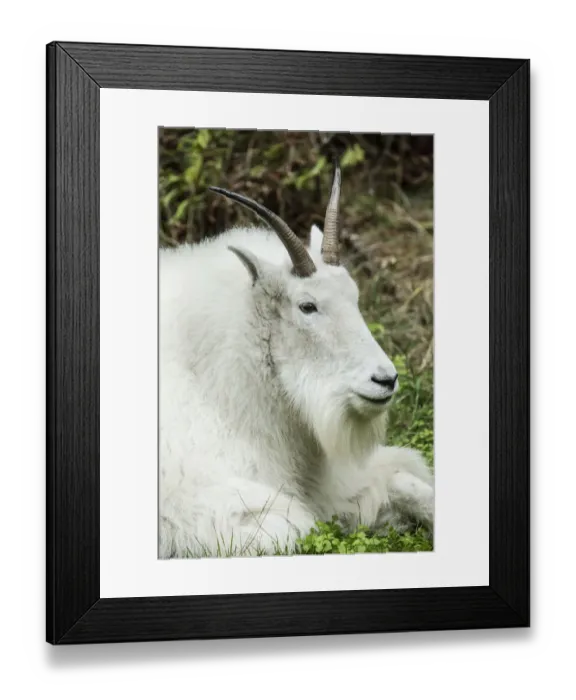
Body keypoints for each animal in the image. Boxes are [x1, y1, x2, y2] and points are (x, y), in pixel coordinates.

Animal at [159, 165, 434, 558]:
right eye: (307, 306)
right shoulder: (214, 510)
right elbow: (301, 527)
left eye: (354, 296)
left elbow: (406, 481)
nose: (385, 380)